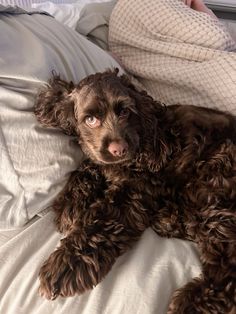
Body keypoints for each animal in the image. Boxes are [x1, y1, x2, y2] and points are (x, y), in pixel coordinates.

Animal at [34, 69, 235, 314]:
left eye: (125, 112)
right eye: (91, 119)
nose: (118, 149)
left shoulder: (134, 192)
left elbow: (99, 223)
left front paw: (66, 265)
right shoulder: (103, 161)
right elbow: (89, 166)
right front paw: (70, 205)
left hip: (213, 181)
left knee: (228, 262)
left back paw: (191, 302)